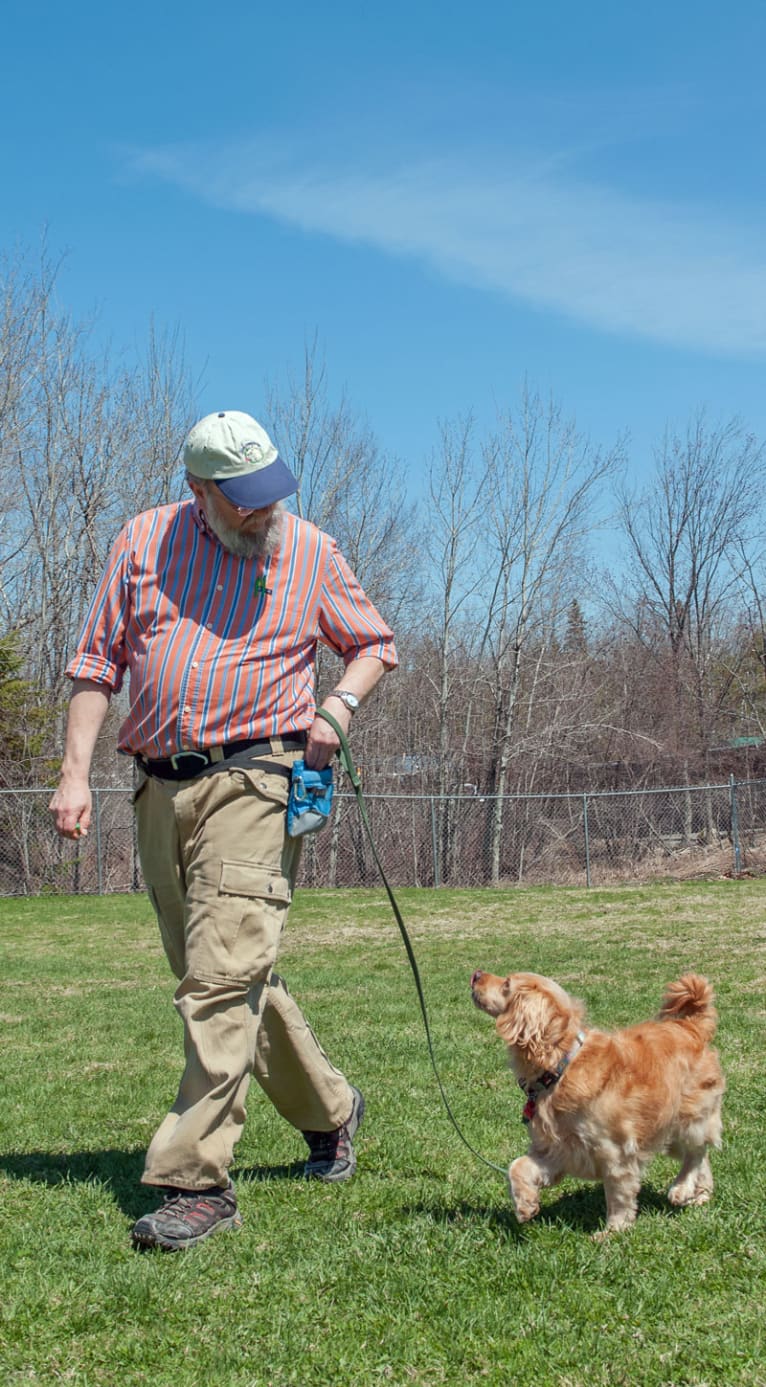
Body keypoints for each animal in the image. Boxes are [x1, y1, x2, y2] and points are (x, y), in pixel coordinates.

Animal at [469, 965, 727, 1237]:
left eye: (507, 984)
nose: (476, 975)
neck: (560, 1068)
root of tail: (691, 1027)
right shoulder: (556, 1150)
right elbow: (516, 1166)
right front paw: (525, 1204)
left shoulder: (616, 1152)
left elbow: (618, 1195)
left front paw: (613, 1231)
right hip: (665, 1131)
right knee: (701, 1157)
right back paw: (700, 1196)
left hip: (687, 1119)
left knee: (696, 1153)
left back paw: (681, 1188)